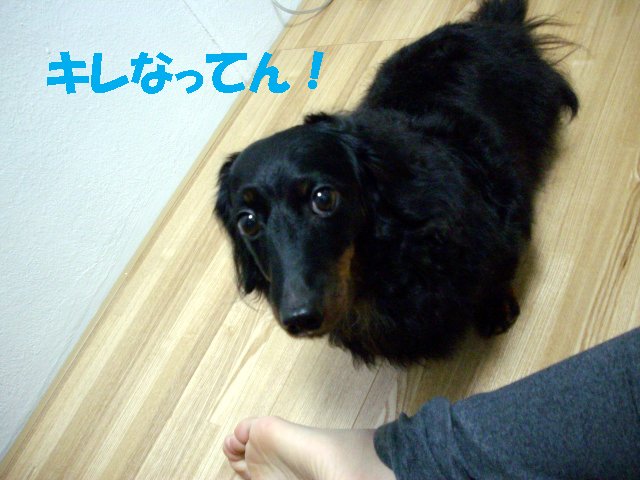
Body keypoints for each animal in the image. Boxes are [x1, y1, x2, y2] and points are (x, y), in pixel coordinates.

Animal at [215, 0, 578, 365]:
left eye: (323, 198)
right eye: (247, 222)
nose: (299, 318)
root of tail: (488, 26)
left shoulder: (503, 212)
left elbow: (498, 266)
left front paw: (494, 305)